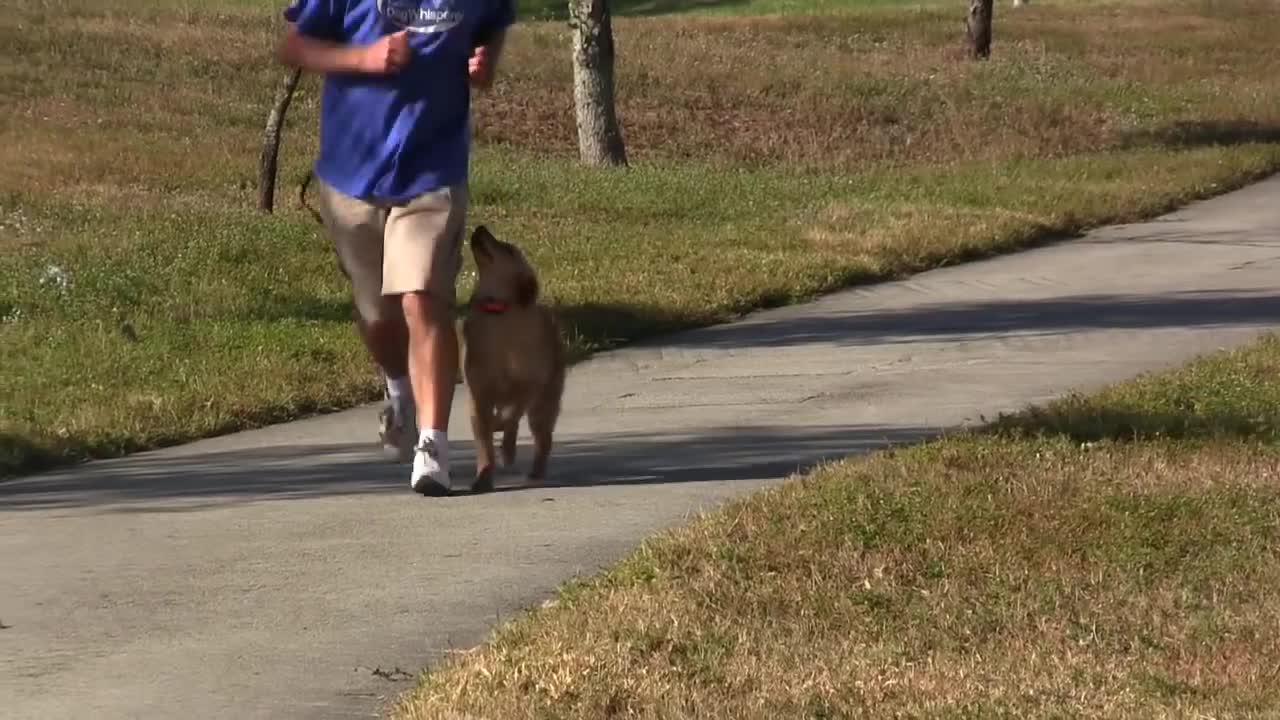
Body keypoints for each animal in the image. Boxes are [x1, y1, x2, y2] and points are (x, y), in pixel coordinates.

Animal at [458, 226, 563, 489]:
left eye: (507, 248)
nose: (480, 228)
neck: (498, 310)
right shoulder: (478, 392)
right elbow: (484, 441)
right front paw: (483, 477)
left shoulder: (529, 384)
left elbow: (511, 415)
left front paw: (501, 431)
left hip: (545, 403)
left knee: (542, 438)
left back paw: (534, 470)